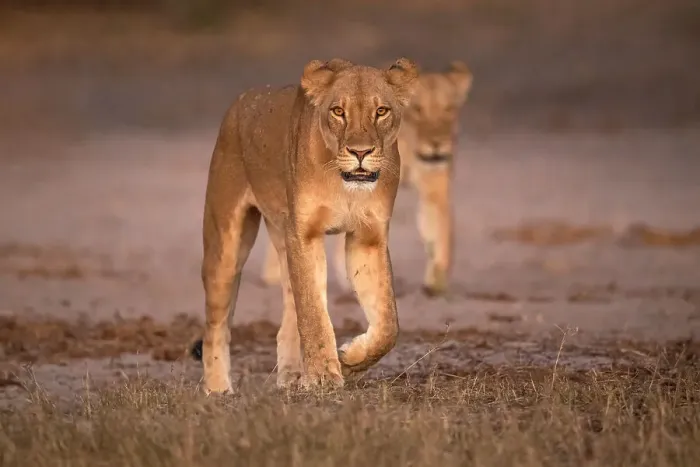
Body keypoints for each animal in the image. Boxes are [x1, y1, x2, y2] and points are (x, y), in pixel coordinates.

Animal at [190, 58, 419, 394]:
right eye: (338, 111)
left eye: (381, 111)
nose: (360, 152)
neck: (344, 185)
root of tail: (241, 100)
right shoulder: (304, 234)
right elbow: (312, 311)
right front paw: (323, 374)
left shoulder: (367, 237)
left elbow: (388, 323)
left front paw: (349, 360)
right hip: (226, 242)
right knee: (216, 325)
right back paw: (218, 389)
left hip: (282, 238)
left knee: (289, 307)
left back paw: (291, 375)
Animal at [261, 61, 472, 297]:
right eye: (418, 110)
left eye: (449, 109)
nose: (437, 144)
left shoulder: (434, 182)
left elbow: (439, 229)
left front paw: (437, 280)